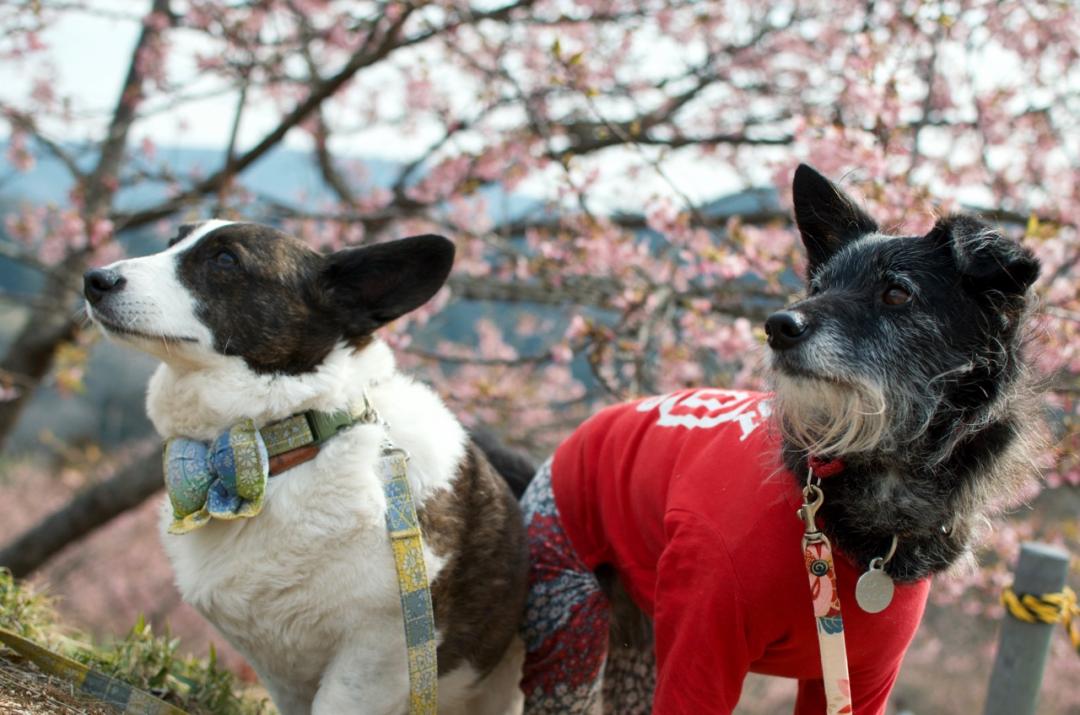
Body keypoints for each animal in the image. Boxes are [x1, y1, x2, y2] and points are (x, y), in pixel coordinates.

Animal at [82, 220, 529, 715]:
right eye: (172, 241)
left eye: (225, 260)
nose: (95, 279)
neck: (287, 441)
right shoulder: (282, 675)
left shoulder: (378, 655)